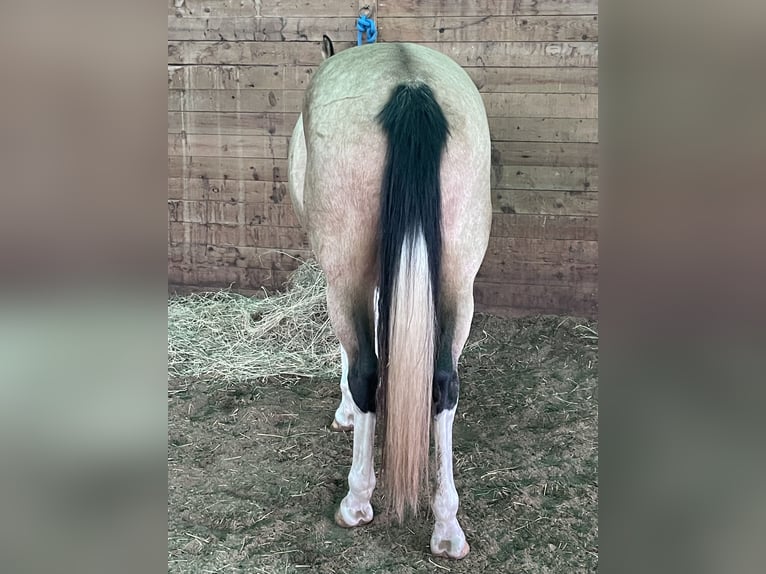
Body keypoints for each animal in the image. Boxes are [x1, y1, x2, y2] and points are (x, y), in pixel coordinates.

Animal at [287, 41, 491, 559]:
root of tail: (410, 83)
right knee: (444, 383)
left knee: (366, 371)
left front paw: (344, 414)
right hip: (458, 278)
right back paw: (447, 526)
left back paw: (357, 500)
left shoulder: (345, 276)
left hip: (344, 274)